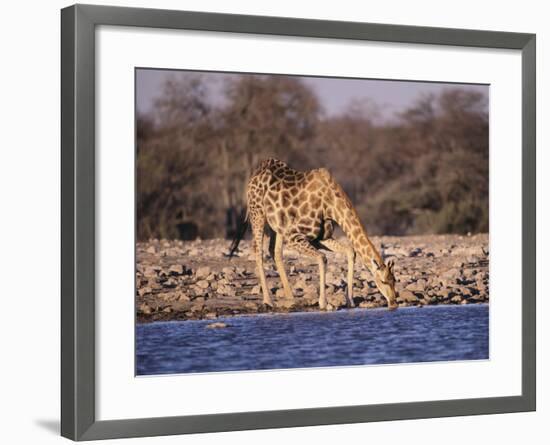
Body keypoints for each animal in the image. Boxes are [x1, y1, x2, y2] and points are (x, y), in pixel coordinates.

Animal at [231, 158, 398, 310]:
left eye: (394, 280)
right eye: (383, 281)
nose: (393, 303)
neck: (330, 205)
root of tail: (254, 174)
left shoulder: (321, 238)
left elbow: (351, 251)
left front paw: (350, 301)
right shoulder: (293, 235)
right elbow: (322, 258)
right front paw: (323, 303)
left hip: (277, 225)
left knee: (275, 251)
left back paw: (290, 297)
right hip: (257, 214)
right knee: (258, 250)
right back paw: (268, 301)